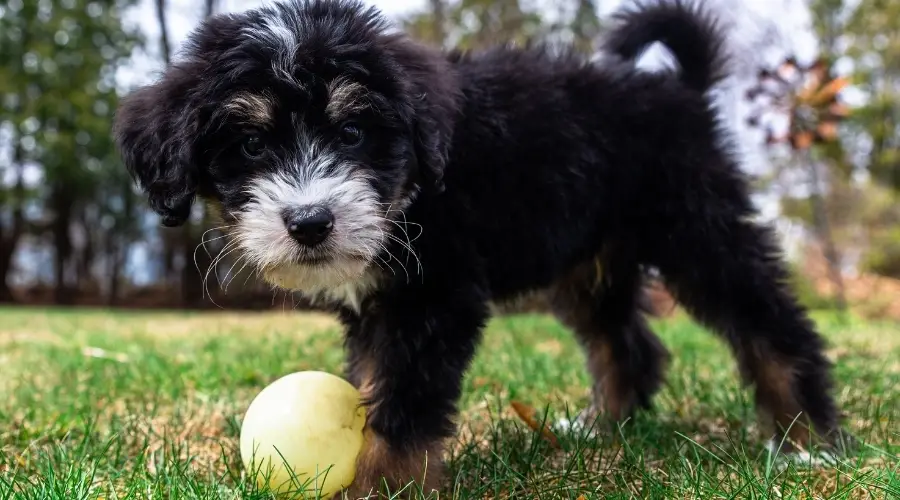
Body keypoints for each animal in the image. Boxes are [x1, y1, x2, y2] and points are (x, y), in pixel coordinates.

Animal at [112, 0, 844, 496]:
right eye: (251, 145)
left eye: (352, 133)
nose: (310, 222)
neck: (416, 189)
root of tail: (678, 89)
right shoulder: (382, 304)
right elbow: (376, 381)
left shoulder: (435, 297)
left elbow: (404, 402)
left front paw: (382, 484)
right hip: (590, 262)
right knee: (625, 343)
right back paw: (603, 429)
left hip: (697, 226)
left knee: (771, 322)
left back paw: (809, 440)